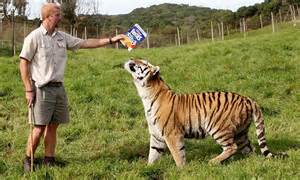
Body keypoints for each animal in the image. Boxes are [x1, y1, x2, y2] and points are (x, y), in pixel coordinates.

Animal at [123, 59, 282, 167]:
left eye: (143, 63)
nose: (131, 58)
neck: (146, 93)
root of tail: (248, 99)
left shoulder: (172, 134)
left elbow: (178, 154)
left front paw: (182, 170)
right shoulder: (156, 135)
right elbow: (153, 154)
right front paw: (148, 168)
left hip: (218, 128)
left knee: (232, 147)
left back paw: (212, 162)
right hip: (241, 132)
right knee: (248, 148)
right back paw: (250, 162)